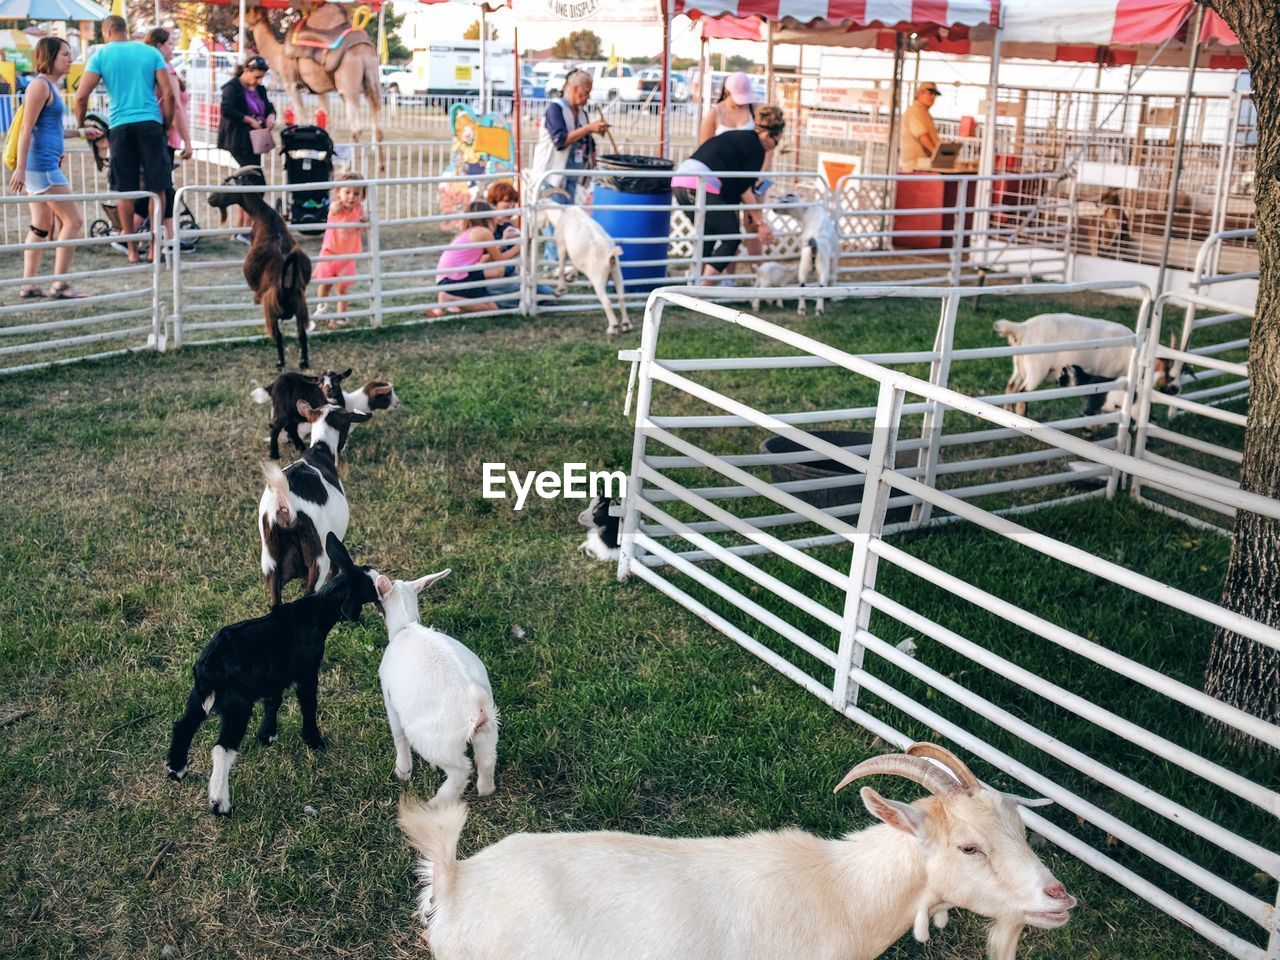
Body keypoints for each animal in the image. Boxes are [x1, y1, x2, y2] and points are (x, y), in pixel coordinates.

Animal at [163, 535, 378, 819]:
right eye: (370, 585)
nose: (385, 587)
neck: (317, 612)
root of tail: (208, 667)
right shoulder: (306, 673)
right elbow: (308, 705)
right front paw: (314, 740)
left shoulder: (273, 674)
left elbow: (273, 700)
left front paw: (267, 735)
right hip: (237, 704)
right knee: (222, 748)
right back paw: (220, 804)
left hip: (198, 696)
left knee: (183, 725)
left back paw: (176, 769)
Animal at [208, 167, 313, 371]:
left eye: (226, 184)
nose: (210, 199)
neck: (262, 214)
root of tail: (287, 285)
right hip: (300, 306)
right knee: (301, 332)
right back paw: (303, 361)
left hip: (270, 309)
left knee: (278, 335)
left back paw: (280, 363)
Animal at [245, 1, 378, 167]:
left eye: (248, 11)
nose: (236, 20)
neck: (279, 54)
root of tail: (363, 50)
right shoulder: (320, 90)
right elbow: (329, 123)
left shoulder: (291, 84)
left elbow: (302, 120)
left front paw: (303, 155)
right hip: (371, 80)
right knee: (376, 121)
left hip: (348, 86)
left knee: (357, 128)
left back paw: (346, 168)